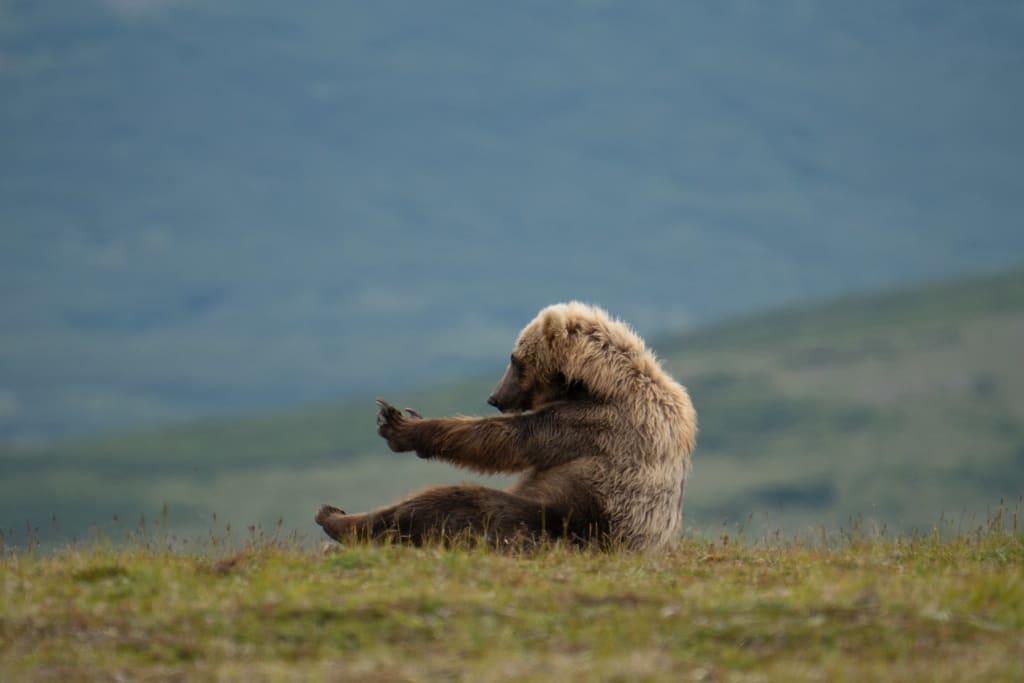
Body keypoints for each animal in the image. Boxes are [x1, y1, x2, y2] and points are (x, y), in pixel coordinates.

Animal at [315, 301, 697, 551]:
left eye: (515, 359)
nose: (494, 397)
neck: (596, 383)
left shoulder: (593, 426)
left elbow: (506, 440)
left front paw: (401, 425)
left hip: (562, 525)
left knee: (454, 503)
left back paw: (337, 519)